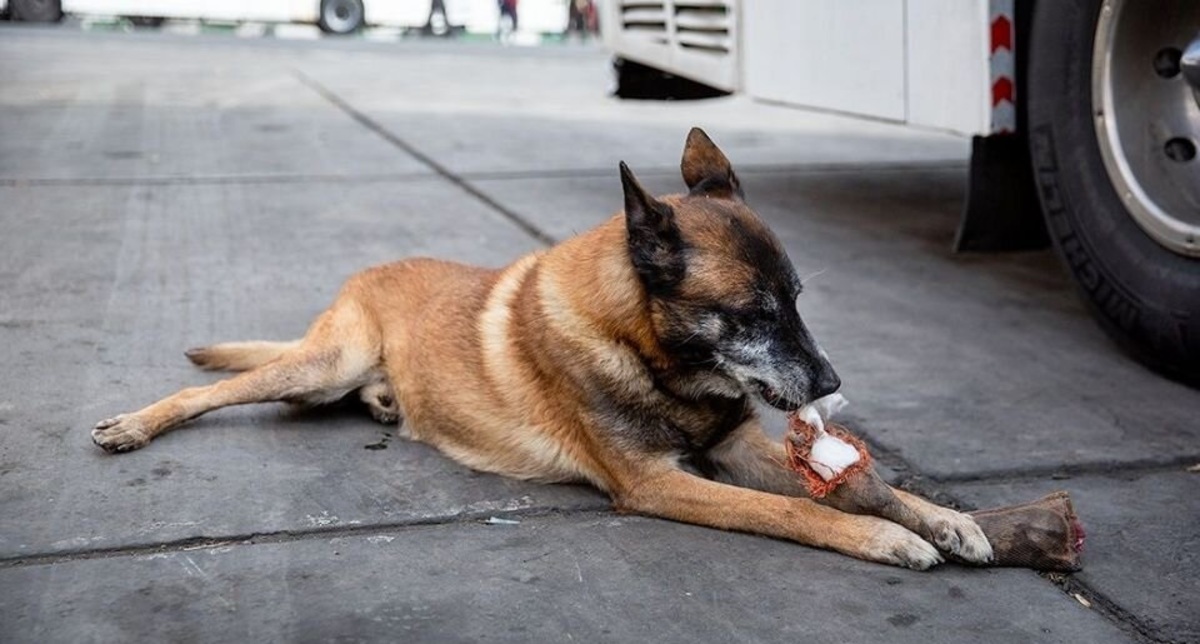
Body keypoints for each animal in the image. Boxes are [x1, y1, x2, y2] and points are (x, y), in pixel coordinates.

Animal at [91, 128, 993, 570]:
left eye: (798, 301)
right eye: (753, 313)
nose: (833, 381)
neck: (647, 352)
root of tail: (367, 274)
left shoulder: (736, 448)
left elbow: (867, 484)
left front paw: (948, 520)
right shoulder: (657, 484)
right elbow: (797, 510)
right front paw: (885, 540)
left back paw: (389, 401)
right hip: (323, 364)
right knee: (213, 394)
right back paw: (135, 424)